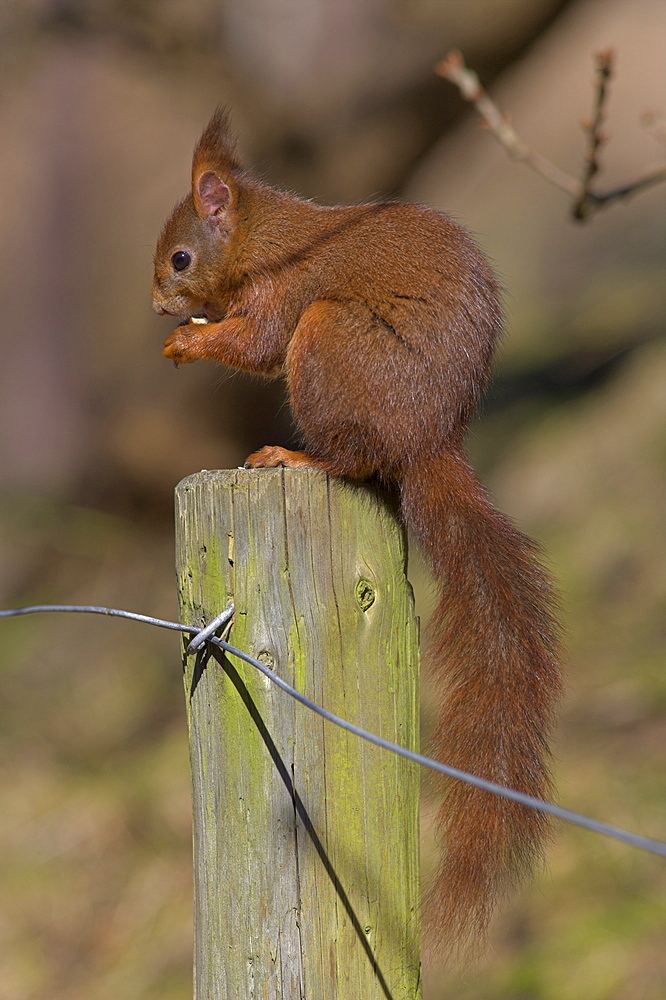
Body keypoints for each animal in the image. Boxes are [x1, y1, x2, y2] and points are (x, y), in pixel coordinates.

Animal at [152, 109, 560, 952]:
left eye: (180, 257)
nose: (156, 307)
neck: (267, 240)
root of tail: (428, 440)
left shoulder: (285, 294)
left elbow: (255, 344)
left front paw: (191, 341)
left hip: (327, 337)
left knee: (351, 457)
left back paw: (293, 454)